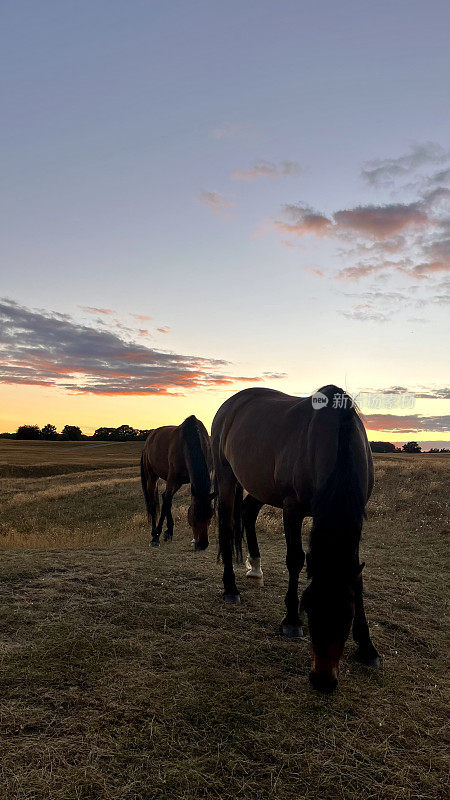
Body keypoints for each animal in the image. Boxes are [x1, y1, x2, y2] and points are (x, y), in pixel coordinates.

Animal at [141, 418, 214, 552]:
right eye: (195, 516)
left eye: (210, 515)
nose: (203, 544)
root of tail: (149, 439)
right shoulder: (172, 479)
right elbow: (165, 505)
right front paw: (156, 537)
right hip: (152, 477)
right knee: (155, 503)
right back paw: (154, 533)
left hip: (179, 483)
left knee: (165, 496)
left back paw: (169, 532)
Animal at [211, 384, 380, 692]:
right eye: (309, 609)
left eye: (348, 616)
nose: (323, 681)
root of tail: (230, 404)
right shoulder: (292, 509)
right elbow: (294, 560)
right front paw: (290, 620)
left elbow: (357, 577)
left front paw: (367, 647)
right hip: (227, 478)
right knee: (228, 528)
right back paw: (231, 588)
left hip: (261, 485)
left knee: (248, 512)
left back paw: (255, 568)